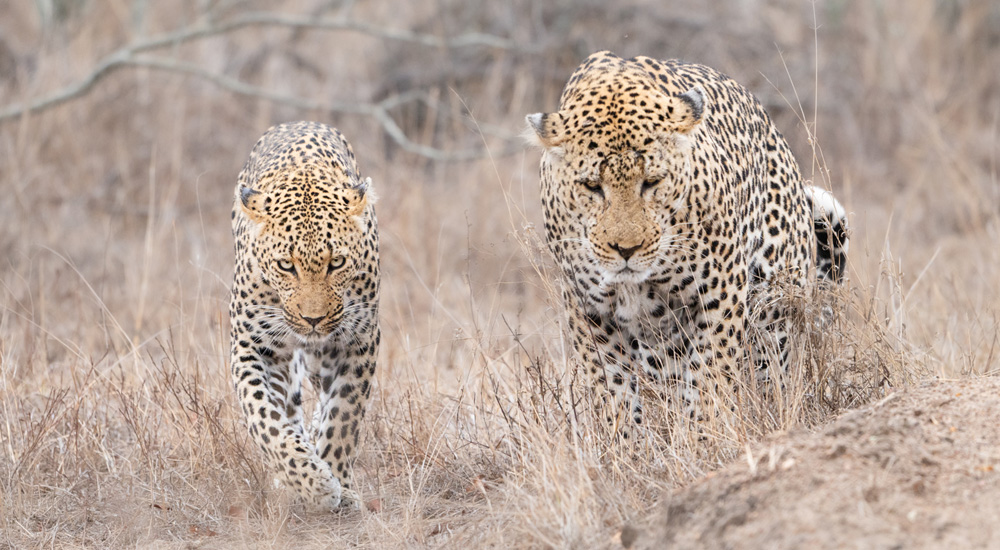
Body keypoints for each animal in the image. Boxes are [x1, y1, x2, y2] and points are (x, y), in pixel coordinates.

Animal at [229, 121, 379, 509]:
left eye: (336, 262)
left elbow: (344, 414)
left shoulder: (358, 341)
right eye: (286, 265)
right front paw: (311, 481)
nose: (313, 319)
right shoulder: (254, 346)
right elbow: (264, 418)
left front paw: (338, 480)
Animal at [526, 51, 848, 434]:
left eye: (652, 182)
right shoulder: (588, 310)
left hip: (773, 302)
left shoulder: (720, 292)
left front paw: (705, 436)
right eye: (591, 186)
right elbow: (612, 389)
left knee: (771, 373)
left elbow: (710, 376)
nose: (626, 250)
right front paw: (627, 444)